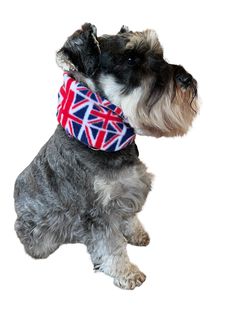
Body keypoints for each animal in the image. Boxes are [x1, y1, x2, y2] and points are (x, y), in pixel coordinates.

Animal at [13, 23, 198, 290]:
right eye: (131, 59)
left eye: (159, 54)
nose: (187, 80)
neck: (104, 139)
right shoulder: (97, 212)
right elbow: (110, 245)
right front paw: (127, 273)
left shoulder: (128, 190)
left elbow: (129, 216)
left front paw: (136, 233)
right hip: (38, 235)